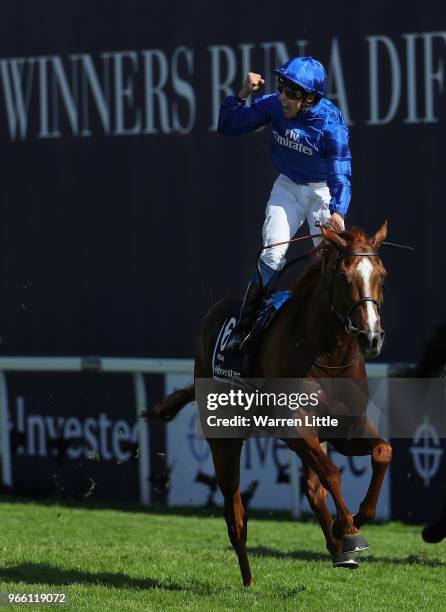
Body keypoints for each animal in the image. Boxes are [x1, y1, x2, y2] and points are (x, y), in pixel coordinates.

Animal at [152, 224, 392, 584]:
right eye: (344, 277)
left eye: (382, 275)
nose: (371, 337)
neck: (327, 353)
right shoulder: (294, 426)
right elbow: (332, 473)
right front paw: (349, 529)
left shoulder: (346, 428)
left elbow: (381, 452)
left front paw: (356, 521)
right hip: (223, 439)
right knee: (235, 515)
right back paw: (249, 580)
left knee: (313, 488)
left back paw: (338, 550)